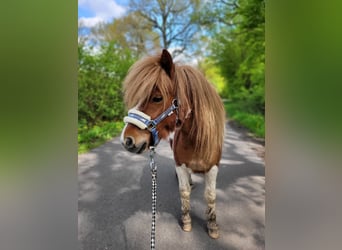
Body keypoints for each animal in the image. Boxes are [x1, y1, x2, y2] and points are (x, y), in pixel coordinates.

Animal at [119, 48, 226, 238]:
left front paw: (212, 225)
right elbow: (184, 192)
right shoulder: (180, 164)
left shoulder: (213, 167)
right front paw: (186, 221)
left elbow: (211, 195)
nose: (127, 140)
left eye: (157, 98)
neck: (196, 140)